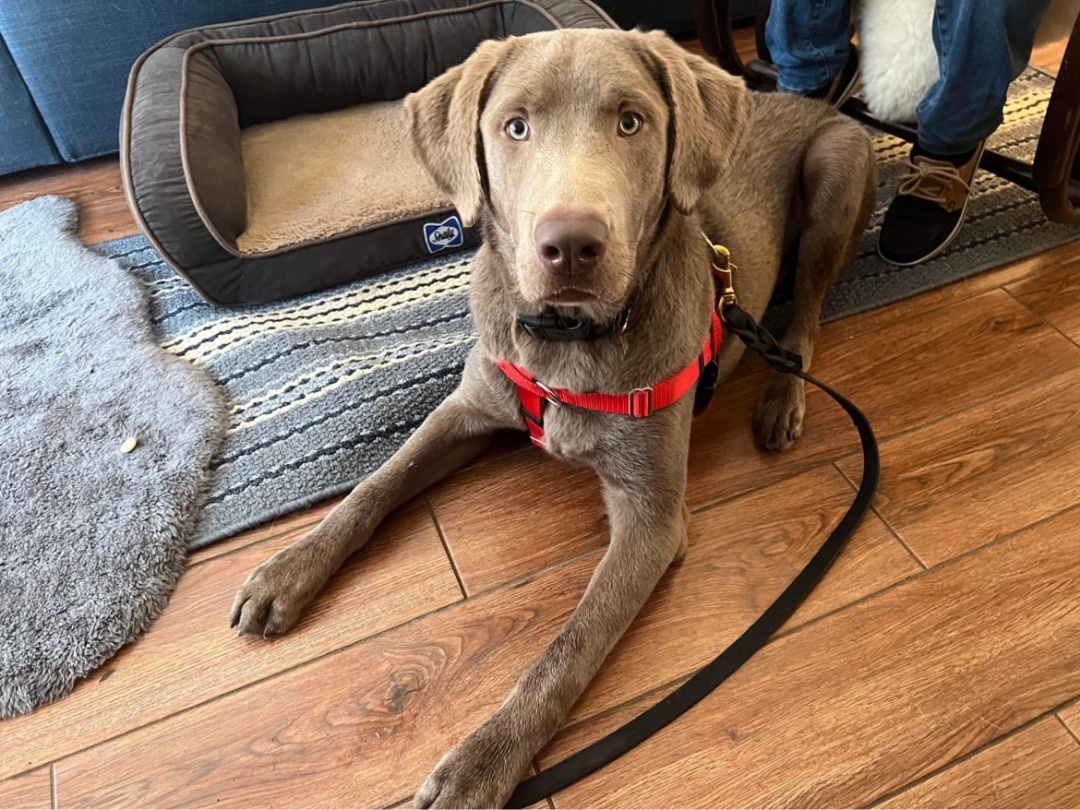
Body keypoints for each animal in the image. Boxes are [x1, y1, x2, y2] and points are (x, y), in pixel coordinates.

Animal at [227, 28, 876, 807]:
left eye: (630, 122)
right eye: (515, 126)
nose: (570, 245)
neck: (568, 340)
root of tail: (807, 98)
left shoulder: (652, 522)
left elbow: (565, 651)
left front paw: (481, 764)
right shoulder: (469, 406)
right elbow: (376, 484)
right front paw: (288, 569)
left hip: (837, 171)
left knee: (806, 311)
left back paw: (781, 399)